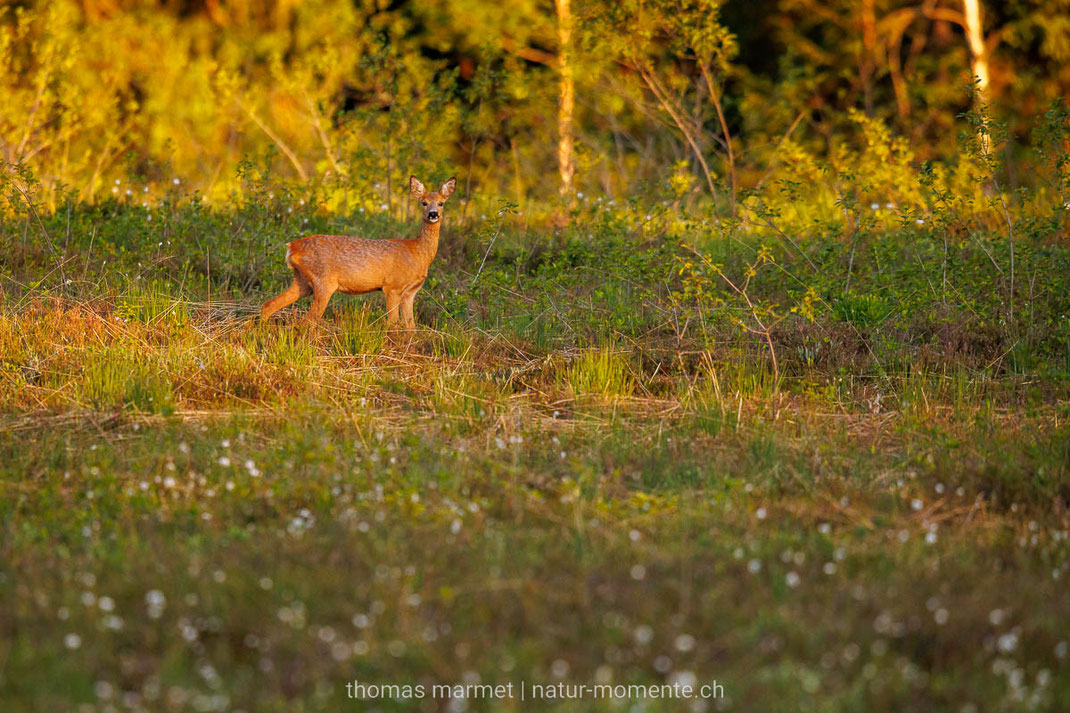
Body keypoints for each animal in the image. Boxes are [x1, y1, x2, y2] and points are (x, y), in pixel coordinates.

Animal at [264, 176, 460, 325]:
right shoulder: (392, 287)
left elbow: (411, 327)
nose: (433, 214)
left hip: (302, 281)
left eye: (441, 203)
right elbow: (393, 325)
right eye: (423, 203)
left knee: (268, 305)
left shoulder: (410, 292)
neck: (417, 253)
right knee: (307, 320)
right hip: (323, 282)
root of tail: (291, 247)